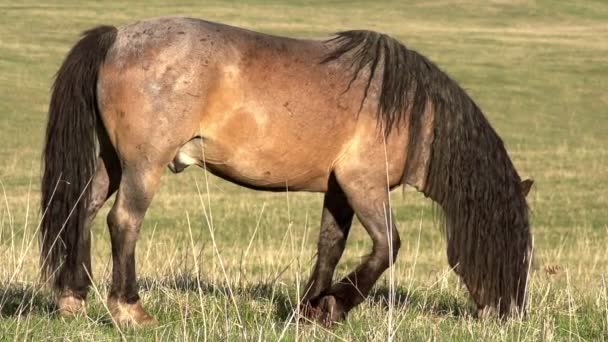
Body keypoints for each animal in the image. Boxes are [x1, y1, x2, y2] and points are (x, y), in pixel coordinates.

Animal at [40, 17, 532, 328]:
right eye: (513, 244)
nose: (510, 315)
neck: (409, 111)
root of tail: (118, 36)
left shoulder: (339, 190)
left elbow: (330, 247)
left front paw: (309, 309)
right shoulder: (364, 185)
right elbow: (387, 247)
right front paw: (336, 306)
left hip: (113, 163)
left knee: (80, 213)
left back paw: (72, 297)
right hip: (144, 165)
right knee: (123, 222)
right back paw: (130, 310)